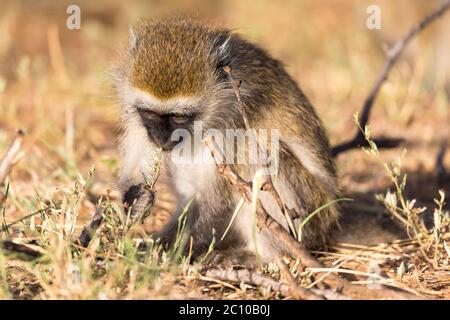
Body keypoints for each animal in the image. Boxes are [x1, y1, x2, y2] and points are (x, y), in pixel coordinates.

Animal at [113, 16, 342, 264]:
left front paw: (161, 250)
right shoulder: (139, 122)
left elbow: (214, 202)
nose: (161, 138)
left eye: (179, 117)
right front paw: (133, 203)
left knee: (257, 153)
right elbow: (135, 169)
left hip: (310, 217)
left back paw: (264, 256)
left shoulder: (230, 125)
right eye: (149, 113)